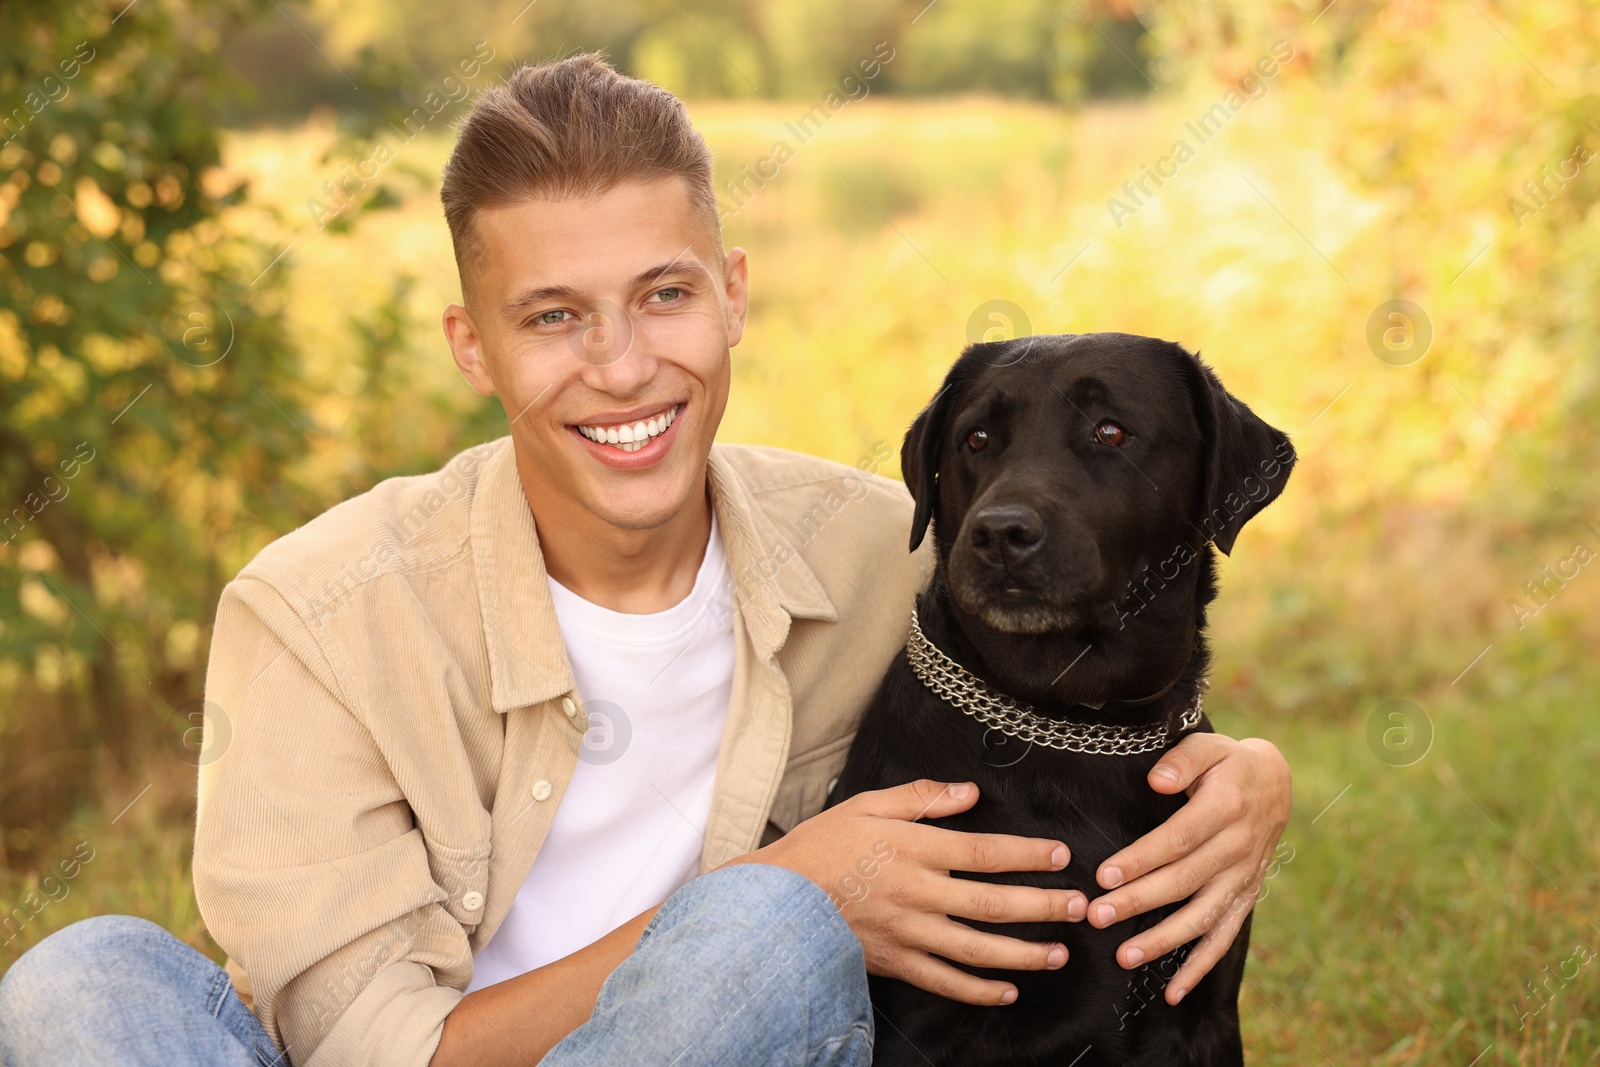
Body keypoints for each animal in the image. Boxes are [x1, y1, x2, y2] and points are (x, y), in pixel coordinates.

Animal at [832, 334, 1292, 1067]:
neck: (1079, 720)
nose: (1000, 532)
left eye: (1111, 431)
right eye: (976, 438)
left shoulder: (1204, 1003)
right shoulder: (916, 1022)